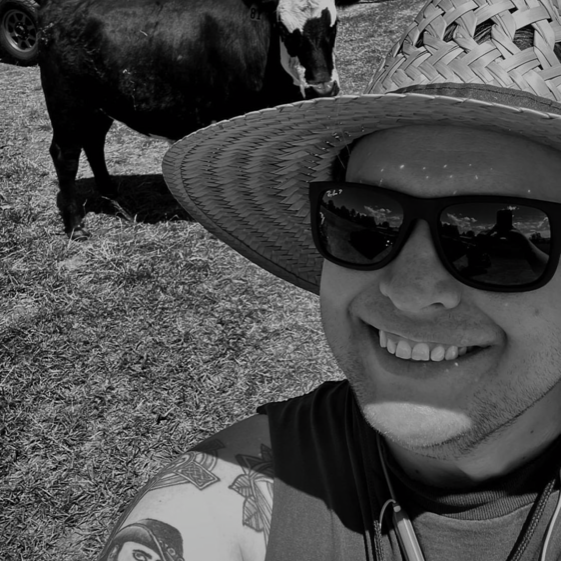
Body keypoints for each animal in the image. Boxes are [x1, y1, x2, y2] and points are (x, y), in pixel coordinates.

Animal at [38, 0, 358, 239]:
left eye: (334, 24)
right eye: (283, 27)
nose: (323, 88)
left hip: (99, 105)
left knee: (94, 143)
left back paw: (111, 195)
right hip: (67, 104)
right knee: (66, 155)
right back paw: (76, 226)